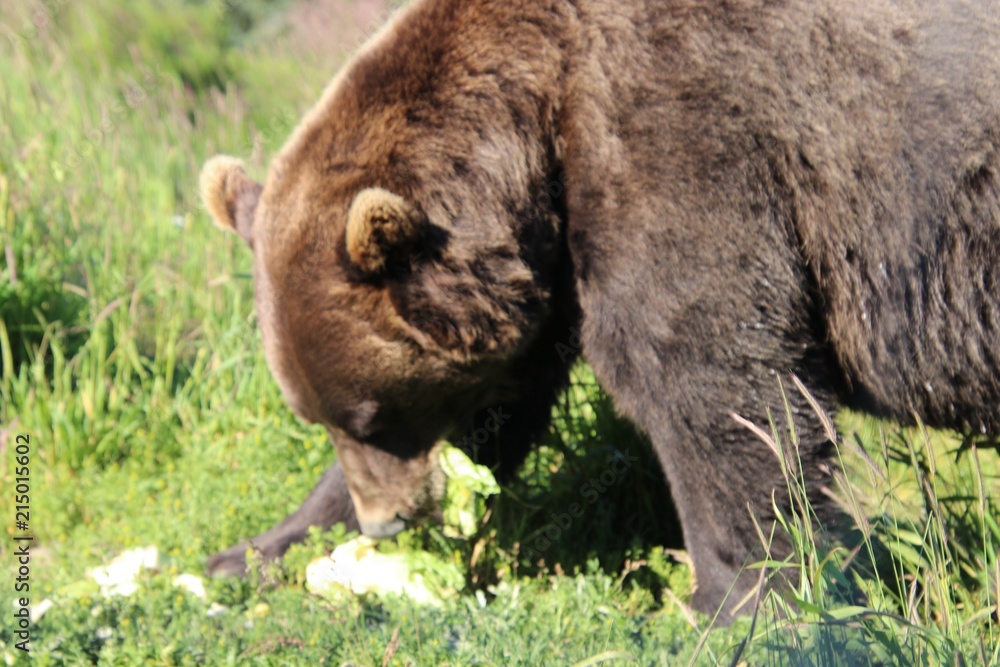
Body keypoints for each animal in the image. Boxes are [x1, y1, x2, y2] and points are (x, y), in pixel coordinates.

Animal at [200, 0, 1000, 620]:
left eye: (374, 414)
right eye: (322, 417)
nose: (389, 520)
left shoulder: (676, 144)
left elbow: (718, 387)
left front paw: (733, 602)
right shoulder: (546, 274)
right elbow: (499, 405)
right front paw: (250, 552)